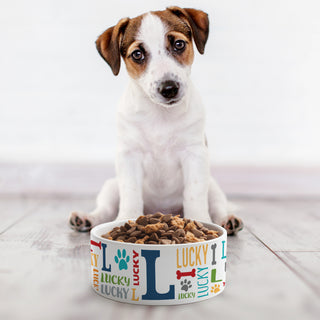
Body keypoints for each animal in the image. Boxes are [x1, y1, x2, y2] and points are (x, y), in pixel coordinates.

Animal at [69, 5, 242, 235]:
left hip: (213, 187)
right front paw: (124, 221)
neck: (160, 115)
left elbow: (194, 194)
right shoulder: (129, 156)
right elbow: (131, 193)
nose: (169, 88)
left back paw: (227, 220)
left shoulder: (195, 155)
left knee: (218, 206)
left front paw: (200, 222)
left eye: (178, 44)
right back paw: (86, 218)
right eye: (138, 54)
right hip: (111, 187)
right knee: (105, 209)